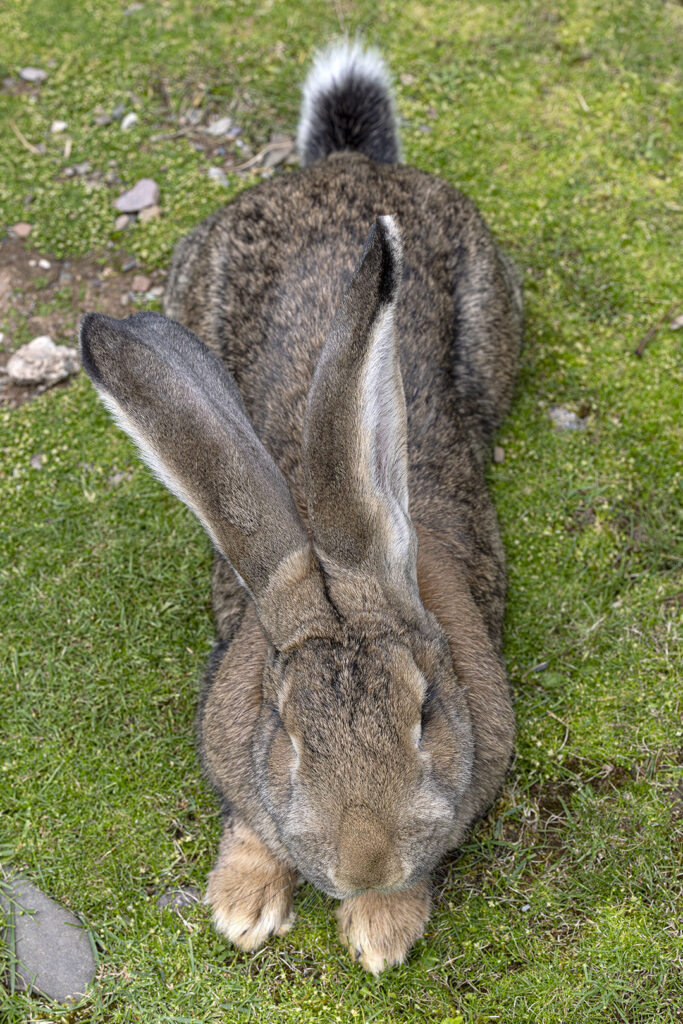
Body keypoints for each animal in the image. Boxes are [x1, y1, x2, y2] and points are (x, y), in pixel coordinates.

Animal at [79, 40, 523, 974]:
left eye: (426, 713)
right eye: (283, 731)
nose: (363, 861)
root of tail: (347, 163)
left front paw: (382, 929)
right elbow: (249, 815)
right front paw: (242, 907)